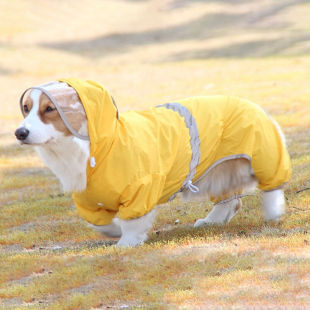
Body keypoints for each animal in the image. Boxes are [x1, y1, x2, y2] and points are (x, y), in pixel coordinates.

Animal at [14, 78, 290, 246]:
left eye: (50, 109)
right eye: (26, 108)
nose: (20, 133)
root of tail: (252, 104)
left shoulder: (140, 190)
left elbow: (133, 222)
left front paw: (125, 243)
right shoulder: (87, 201)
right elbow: (98, 222)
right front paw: (113, 231)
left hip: (263, 156)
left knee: (272, 187)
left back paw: (273, 212)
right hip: (219, 174)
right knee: (230, 201)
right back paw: (212, 220)